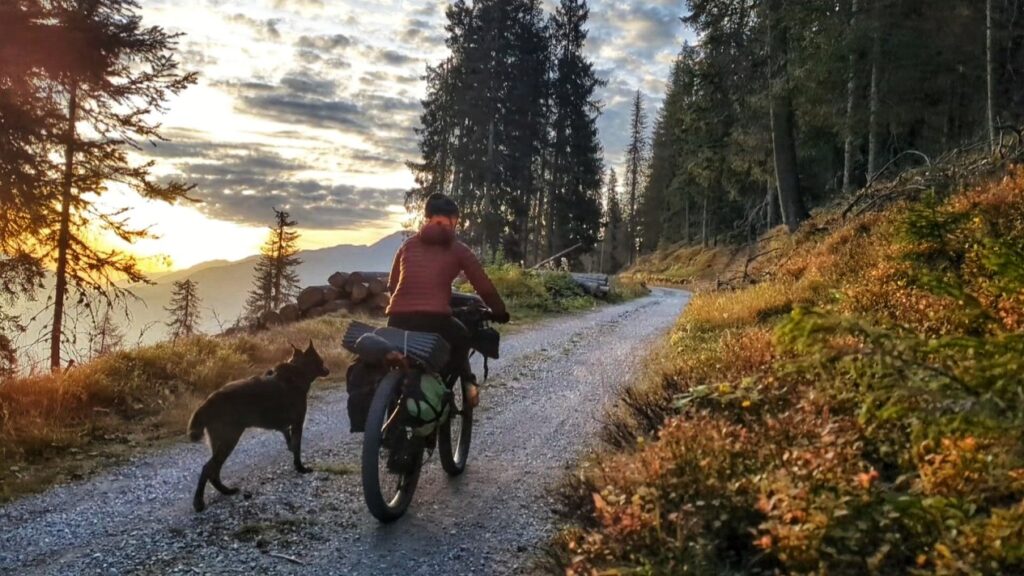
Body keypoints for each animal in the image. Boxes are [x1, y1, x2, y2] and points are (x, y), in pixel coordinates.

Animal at [184, 338, 327, 508]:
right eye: (321, 361)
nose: (328, 370)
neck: (298, 371)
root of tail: (208, 402)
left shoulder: (287, 427)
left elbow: (290, 441)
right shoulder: (298, 423)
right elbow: (297, 448)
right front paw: (300, 468)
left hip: (219, 441)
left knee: (214, 471)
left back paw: (226, 491)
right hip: (229, 439)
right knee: (208, 468)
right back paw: (199, 501)